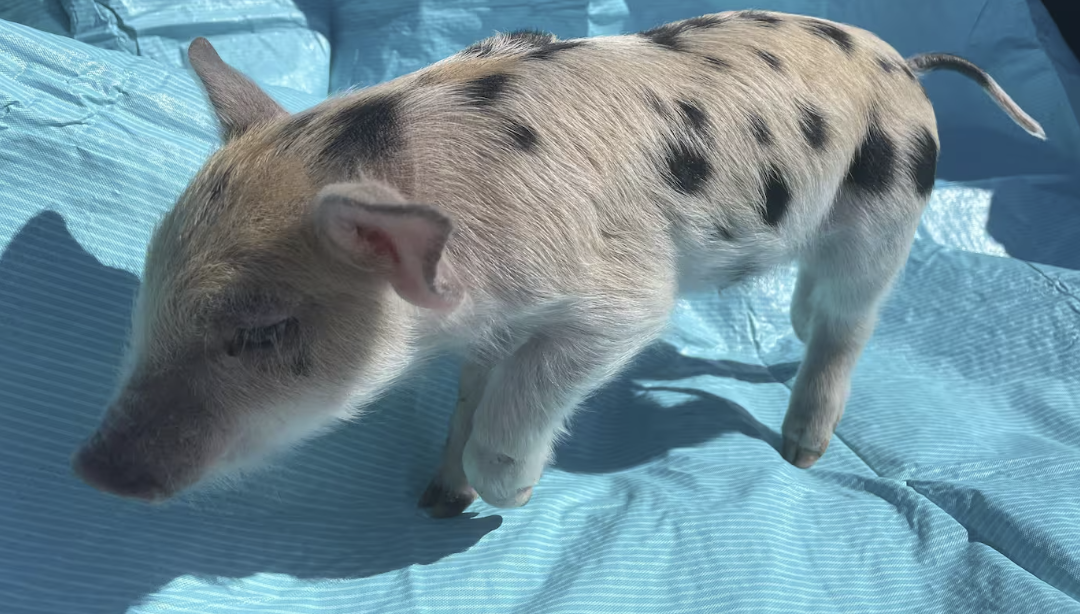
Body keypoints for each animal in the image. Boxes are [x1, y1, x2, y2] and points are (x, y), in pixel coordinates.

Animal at [72, 10, 1045, 517]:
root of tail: (905, 62)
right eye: (149, 300)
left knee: (850, 325)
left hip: (884, 216)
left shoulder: (623, 299)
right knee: (817, 316)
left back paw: (801, 454)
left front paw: (504, 496)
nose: (88, 468)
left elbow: (535, 391)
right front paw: (437, 500)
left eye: (266, 332)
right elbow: (473, 394)